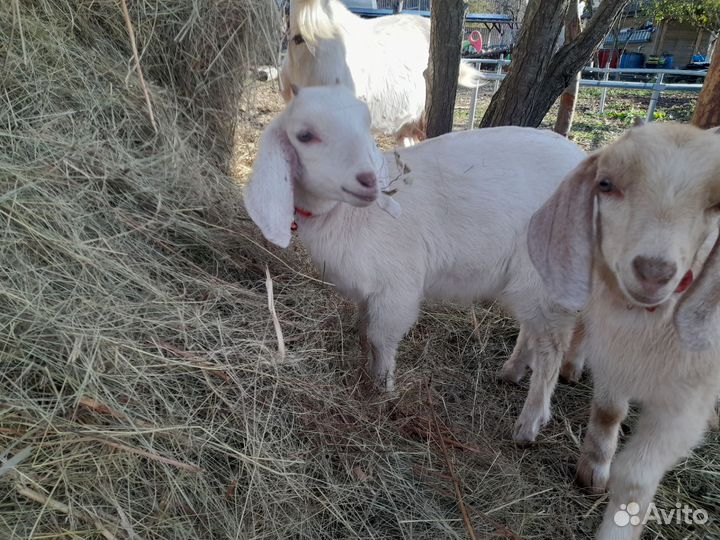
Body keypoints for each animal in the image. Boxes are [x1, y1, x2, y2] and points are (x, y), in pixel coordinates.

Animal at [244, 85, 586, 442]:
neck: (345, 216)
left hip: (549, 271)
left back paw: (529, 424)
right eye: (304, 135)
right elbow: (365, 332)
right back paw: (513, 372)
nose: (369, 180)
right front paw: (369, 377)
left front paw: (384, 391)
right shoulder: (368, 293)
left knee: (551, 346)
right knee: (534, 328)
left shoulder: (397, 287)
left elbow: (380, 337)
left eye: (365, 123)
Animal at [528, 123, 720, 540]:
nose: (653, 272)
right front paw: (594, 467)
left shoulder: (687, 403)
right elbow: (608, 411)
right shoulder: (614, 360)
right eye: (606, 184)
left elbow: (635, 481)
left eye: (717, 204)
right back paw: (571, 365)